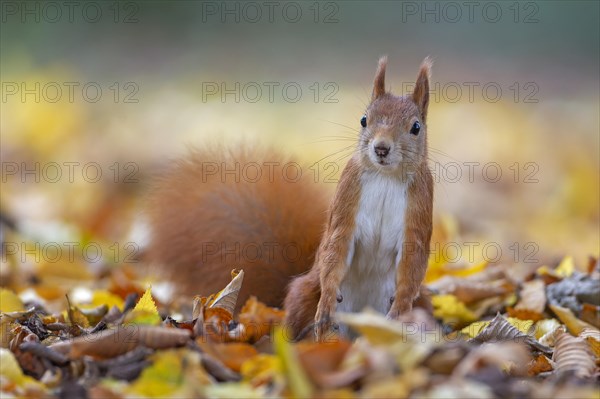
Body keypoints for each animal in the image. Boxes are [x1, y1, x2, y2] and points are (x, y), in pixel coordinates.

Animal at [148, 57, 434, 340]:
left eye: (416, 127)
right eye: (364, 120)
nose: (381, 148)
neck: (385, 176)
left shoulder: (419, 210)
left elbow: (413, 261)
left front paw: (400, 309)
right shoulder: (346, 203)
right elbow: (335, 248)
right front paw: (327, 301)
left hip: (424, 303)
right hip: (303, 294)